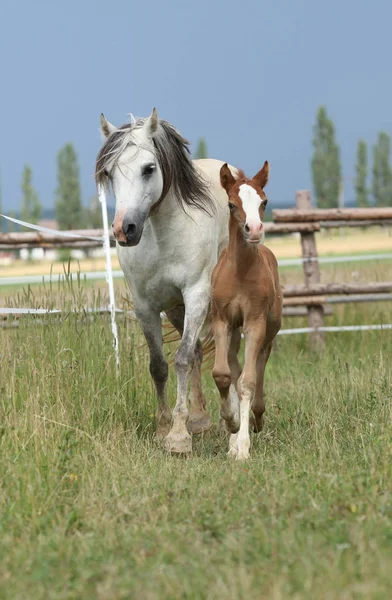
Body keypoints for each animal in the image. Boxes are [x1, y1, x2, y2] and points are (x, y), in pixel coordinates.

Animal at [96, 110, 234, 452]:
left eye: (149, 168)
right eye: (109, 172)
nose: (125, 230)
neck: (162, 236)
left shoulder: (196, 294)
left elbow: (181, 359)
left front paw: (178, 436)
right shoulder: (146, 306)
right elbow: (159, 365)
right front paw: (164, 426)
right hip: (176, 309)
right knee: (197, 350)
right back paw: (199, 418)